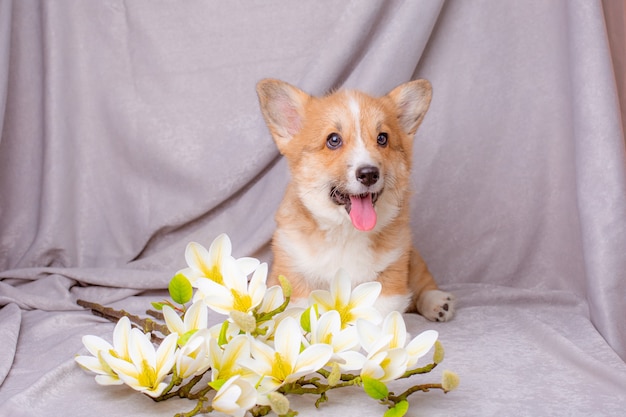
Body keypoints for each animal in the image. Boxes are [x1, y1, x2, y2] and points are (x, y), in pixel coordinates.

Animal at [254, 79, 454, 322]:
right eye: (333, 140)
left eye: (382, 138)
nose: (369, 174)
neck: (346, 233)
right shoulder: (293, 275)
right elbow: (300, 315)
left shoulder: (390, 277)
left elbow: (377, 318)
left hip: (412, 257)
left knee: (422, 284)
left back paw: (438, 302)